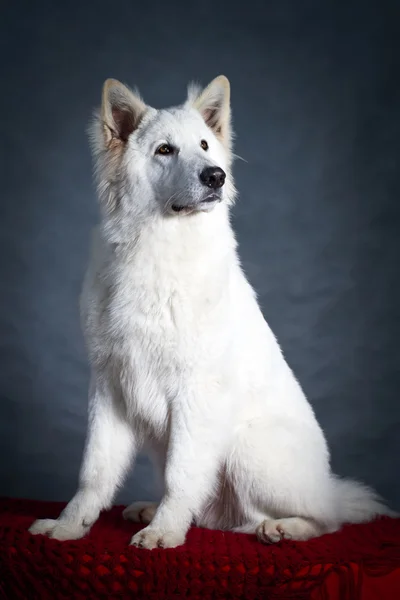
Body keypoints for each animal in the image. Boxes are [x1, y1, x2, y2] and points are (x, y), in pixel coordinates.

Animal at [28, 75, 394, 548]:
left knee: (326, 518)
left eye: (204, 145)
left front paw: (163, 533)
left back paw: (281, 527)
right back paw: (154, 509)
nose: (215, 176)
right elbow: (94, 472)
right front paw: (69, 526)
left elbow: (182, 475)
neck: (158, 250)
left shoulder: (195, 392)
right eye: (165, 149)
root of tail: (329, 487)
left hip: (246, 448)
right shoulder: (108, 388)